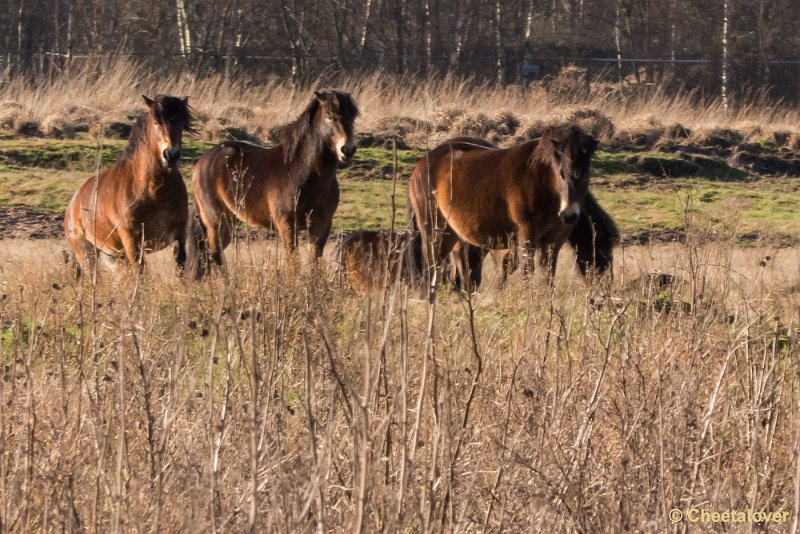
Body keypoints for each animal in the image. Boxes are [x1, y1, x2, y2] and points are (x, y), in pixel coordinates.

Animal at [63, 94, 193, 280]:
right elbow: (141, 274)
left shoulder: (179, 235)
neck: (154, 192)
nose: (171, 154)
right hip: (87, 253)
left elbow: (180, 266)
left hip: (114, 256)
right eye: (156, 122)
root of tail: (72, 206)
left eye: (182, 123)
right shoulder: (132, 241)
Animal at [191, 92, 360, 270]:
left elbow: (314, 262)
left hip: (231, 220)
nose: (347, 149)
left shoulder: (322, 225)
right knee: (215, 254)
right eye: (330, 117)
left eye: (353, 117)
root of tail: (202, 161)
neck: (303, 172)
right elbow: (293, 261)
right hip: (215, 220)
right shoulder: (287, 224)